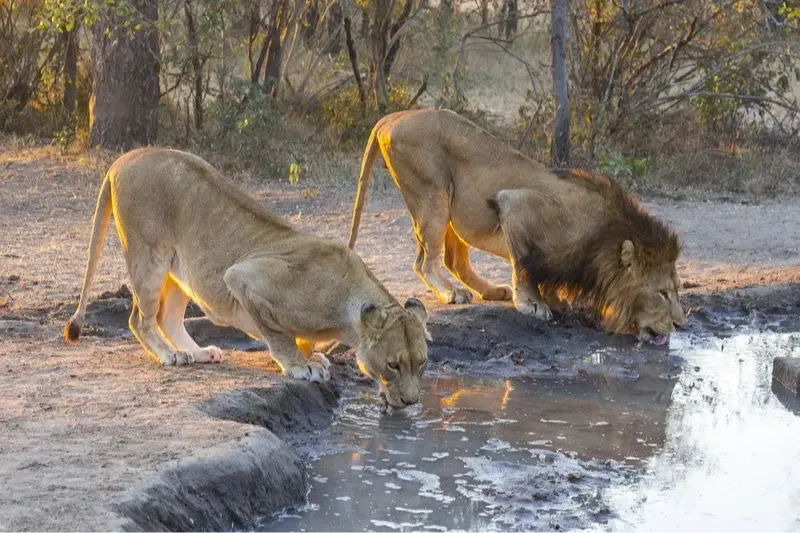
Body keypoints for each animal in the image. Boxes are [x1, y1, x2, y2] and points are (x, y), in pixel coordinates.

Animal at [64, 148, 430, 408]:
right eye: (394, 365)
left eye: (422, 363)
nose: (412, 401)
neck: (346, 311)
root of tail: (124, 158)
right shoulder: (244, 278)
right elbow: (278, 336)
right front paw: (300, 366)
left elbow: (302, 340)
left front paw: (312, 355)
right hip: (149, 254)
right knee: (139, 318)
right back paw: (170, 356)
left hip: (182, 267)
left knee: (167, 318)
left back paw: (198, 353)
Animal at [347, 109, 686, 344]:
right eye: (663, 293)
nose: (681, 324)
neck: (601, 241)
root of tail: (393, 116)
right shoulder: (515, 205)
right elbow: (524, 265)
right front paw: (533, 304)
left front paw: (556, 300)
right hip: (432, 196)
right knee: (425, 262)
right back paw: (451, 293)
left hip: (455, 210)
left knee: (454, 260)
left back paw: (490, 290)